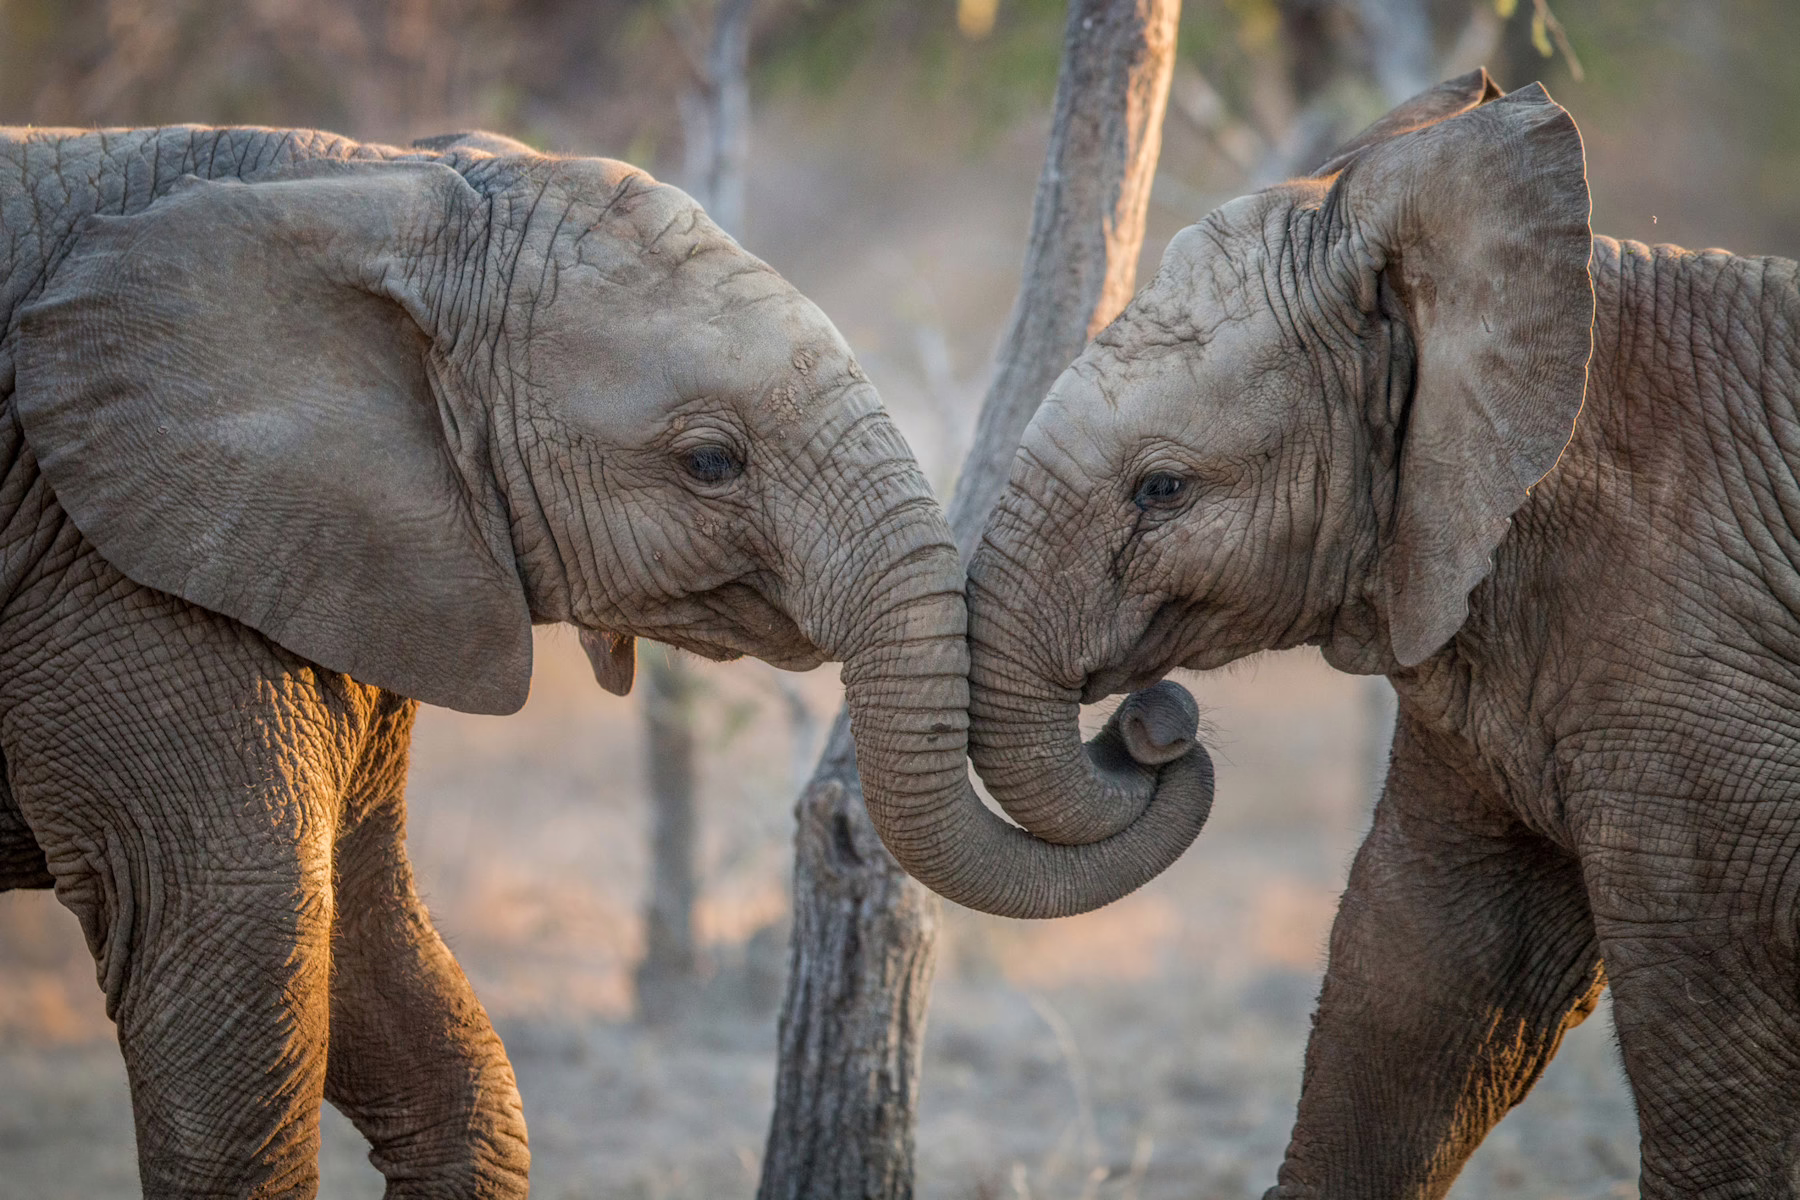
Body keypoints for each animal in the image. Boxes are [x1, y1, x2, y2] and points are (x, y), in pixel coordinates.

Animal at [0, 124, 1211, 1197]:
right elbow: (246, 930)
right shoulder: (117, 576)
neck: (366, 183)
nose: (1155, 720)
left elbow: (381, 954)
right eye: (709, 462)